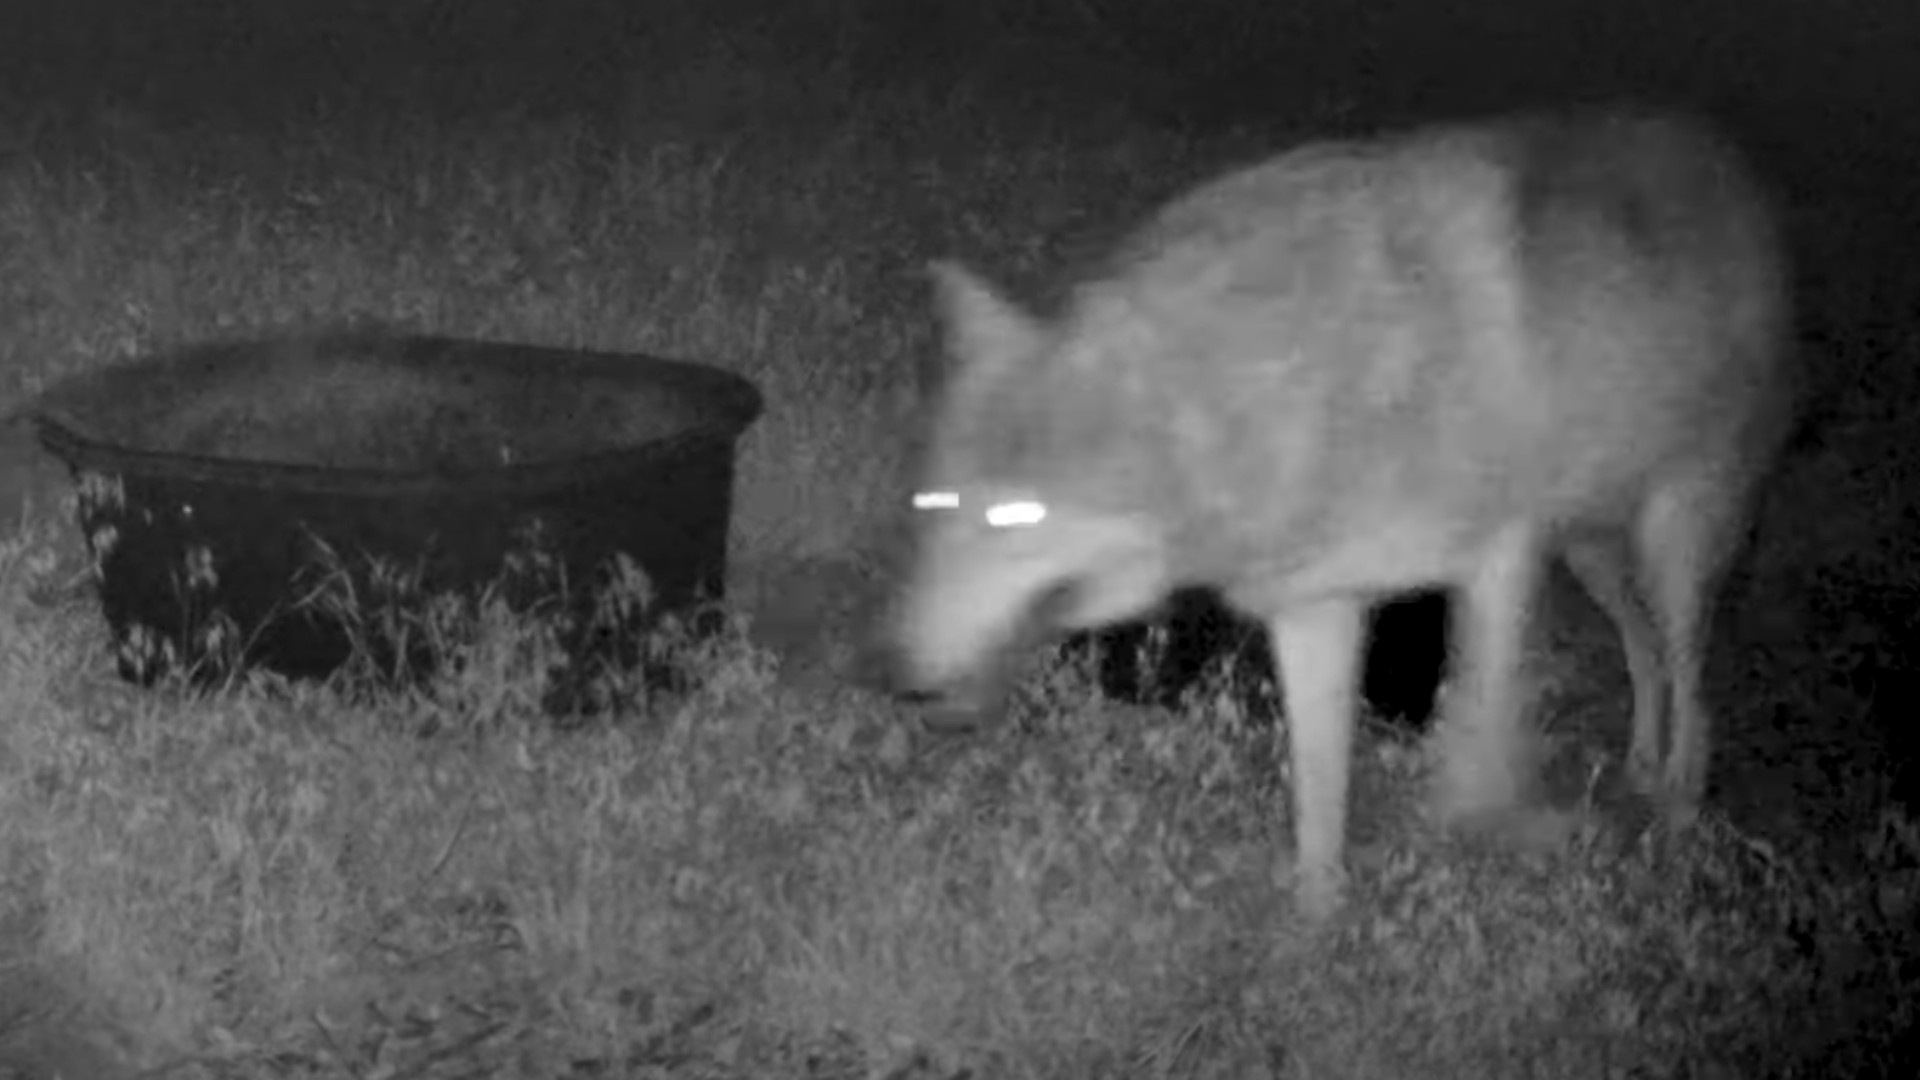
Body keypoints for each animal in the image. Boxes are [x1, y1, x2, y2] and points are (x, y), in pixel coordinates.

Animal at [890, 107, 1789, 914]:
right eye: (933, 512)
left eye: (1006, 524)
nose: (887, 665)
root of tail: (1734, 169)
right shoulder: (1317, 608)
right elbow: (1320, 799)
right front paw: (1317, 925)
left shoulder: (1499, 556)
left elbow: (1476, 747)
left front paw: (1488, 842)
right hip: (1593, 554)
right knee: (1647, 654)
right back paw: (1641, 765)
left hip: (1672, 543)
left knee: (1691, 679)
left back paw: (1677, 809)